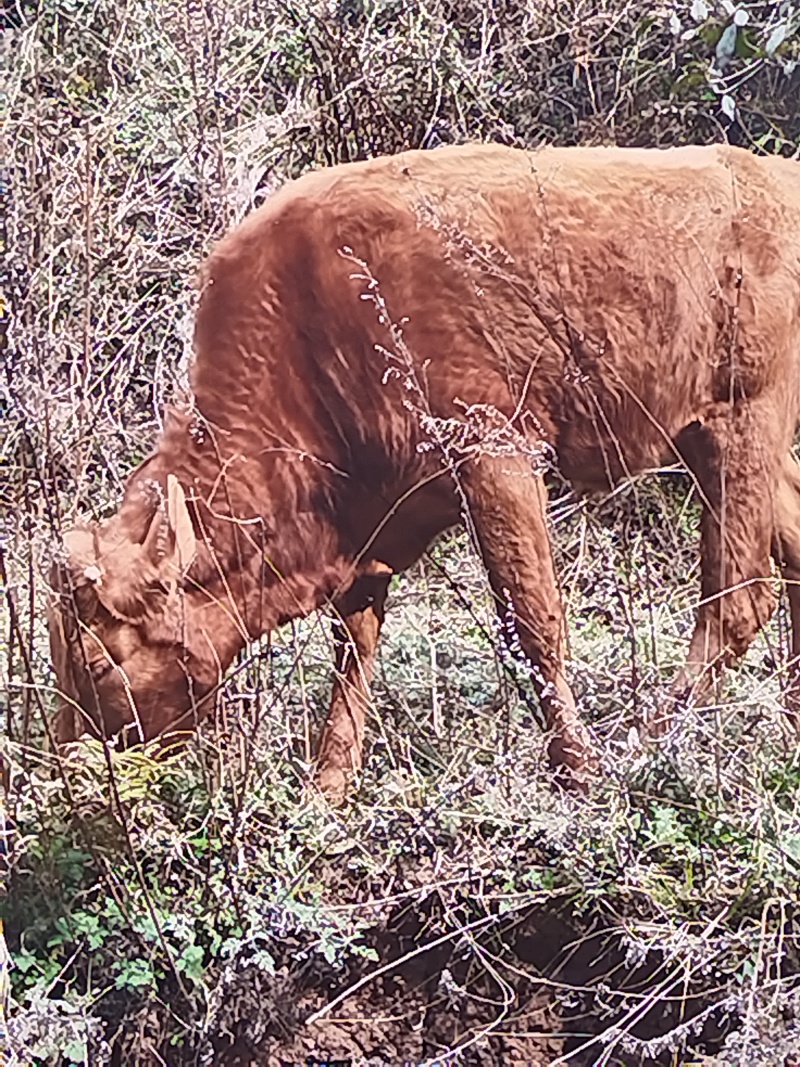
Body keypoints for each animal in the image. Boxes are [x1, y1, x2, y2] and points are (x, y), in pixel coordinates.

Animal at [46, 146, 800, 802]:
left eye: (98, 661)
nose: (76, 774)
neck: (312, 315)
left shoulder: (493, 457)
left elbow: (532, 623)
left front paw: (578, 772)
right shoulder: (371, 523)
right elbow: (354, 645)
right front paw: (328, 789)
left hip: (737, 426)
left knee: (736, 598)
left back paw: (648, 745)